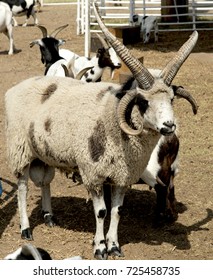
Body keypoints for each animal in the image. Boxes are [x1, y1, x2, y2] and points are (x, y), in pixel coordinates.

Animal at [4, 1, 198, 260]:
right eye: (143, 102)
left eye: (172, 99)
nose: (169, 126)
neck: (113, 119)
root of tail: (18, 87)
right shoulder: (93, 173)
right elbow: (101, 212)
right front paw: (99, 248)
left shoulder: (121, 176)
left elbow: (117, 211)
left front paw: (114, 246)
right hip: (20, 151)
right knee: (23, 188)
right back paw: (26, 230)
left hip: (42, 153)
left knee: (45, 183)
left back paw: (49, 217)